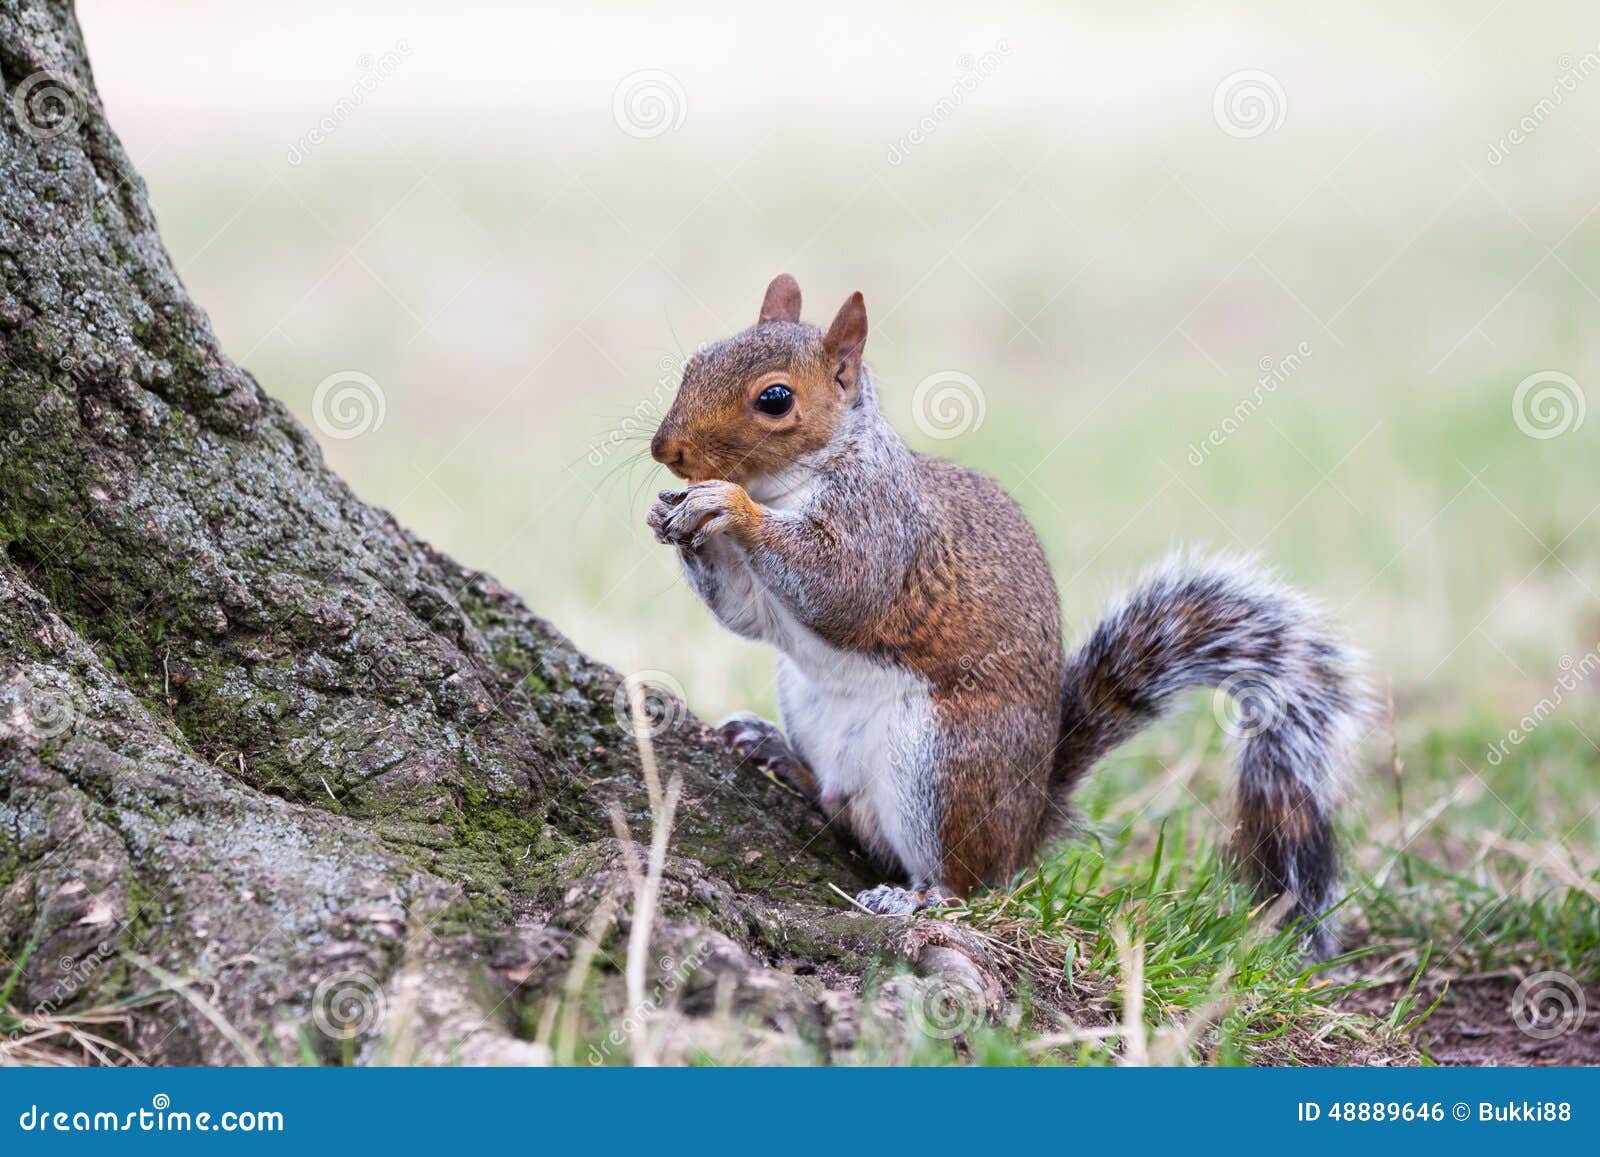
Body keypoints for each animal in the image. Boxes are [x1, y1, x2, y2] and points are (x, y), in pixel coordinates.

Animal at [647, 274, 1368, 959]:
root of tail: (1026, 827)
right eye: (696, 359)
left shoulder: (882, 528)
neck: (795, 480)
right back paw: (780, 754)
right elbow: (744, 616)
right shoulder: (760, 597)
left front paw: (727, 505)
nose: (666, 451)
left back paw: (917, 895)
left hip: (945, 765)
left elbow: (841, 587)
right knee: (841, 808)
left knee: (966, 880)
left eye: (775, 399)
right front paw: (671, 515)